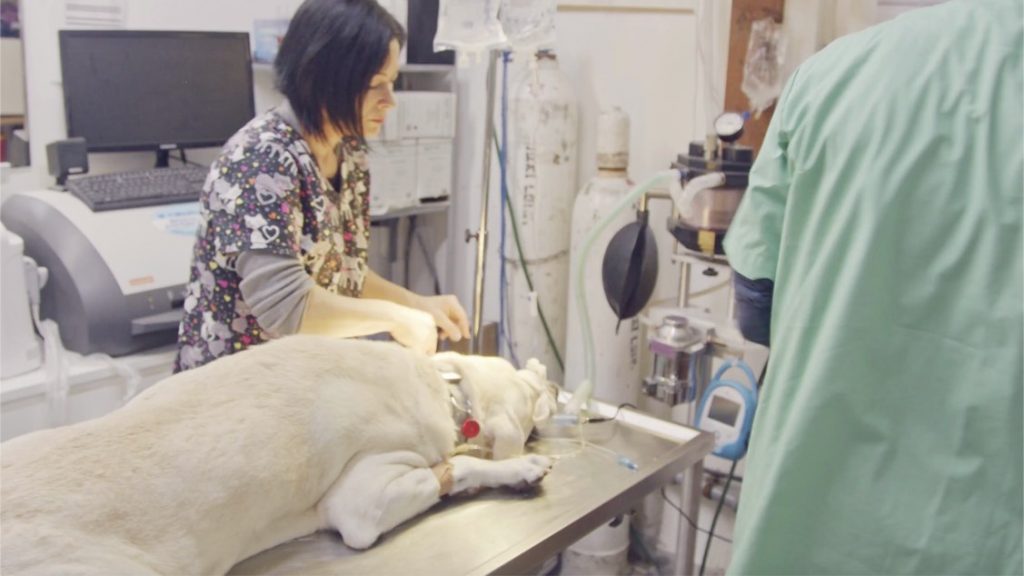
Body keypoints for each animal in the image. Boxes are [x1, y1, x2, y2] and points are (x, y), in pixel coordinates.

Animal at [2, 334, 561, 569]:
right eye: (530, 394)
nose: (553, 382)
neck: (444, 386)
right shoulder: (361, 503)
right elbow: (458, 464)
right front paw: (521, 467)